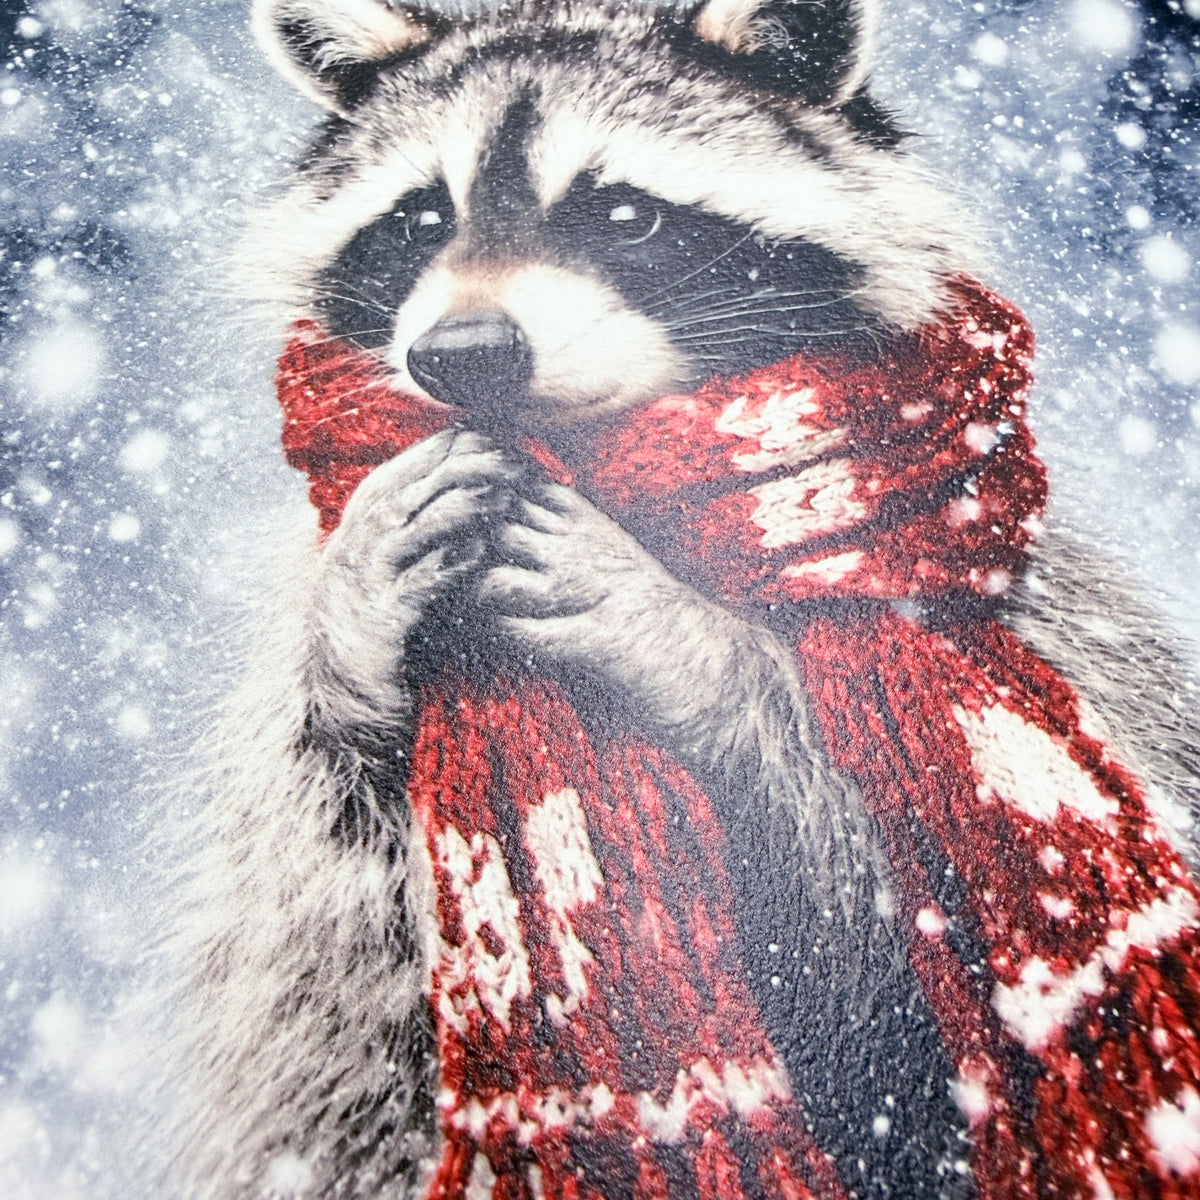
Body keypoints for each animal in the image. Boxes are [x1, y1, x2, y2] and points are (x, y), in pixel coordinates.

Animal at [172, 1, 1200, 1198]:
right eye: (421, 217)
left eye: (624, 214)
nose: (462, 355)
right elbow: (335, 933)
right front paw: (352, 622)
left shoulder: (1063, 642)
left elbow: (878, 929)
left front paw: (685, 637)